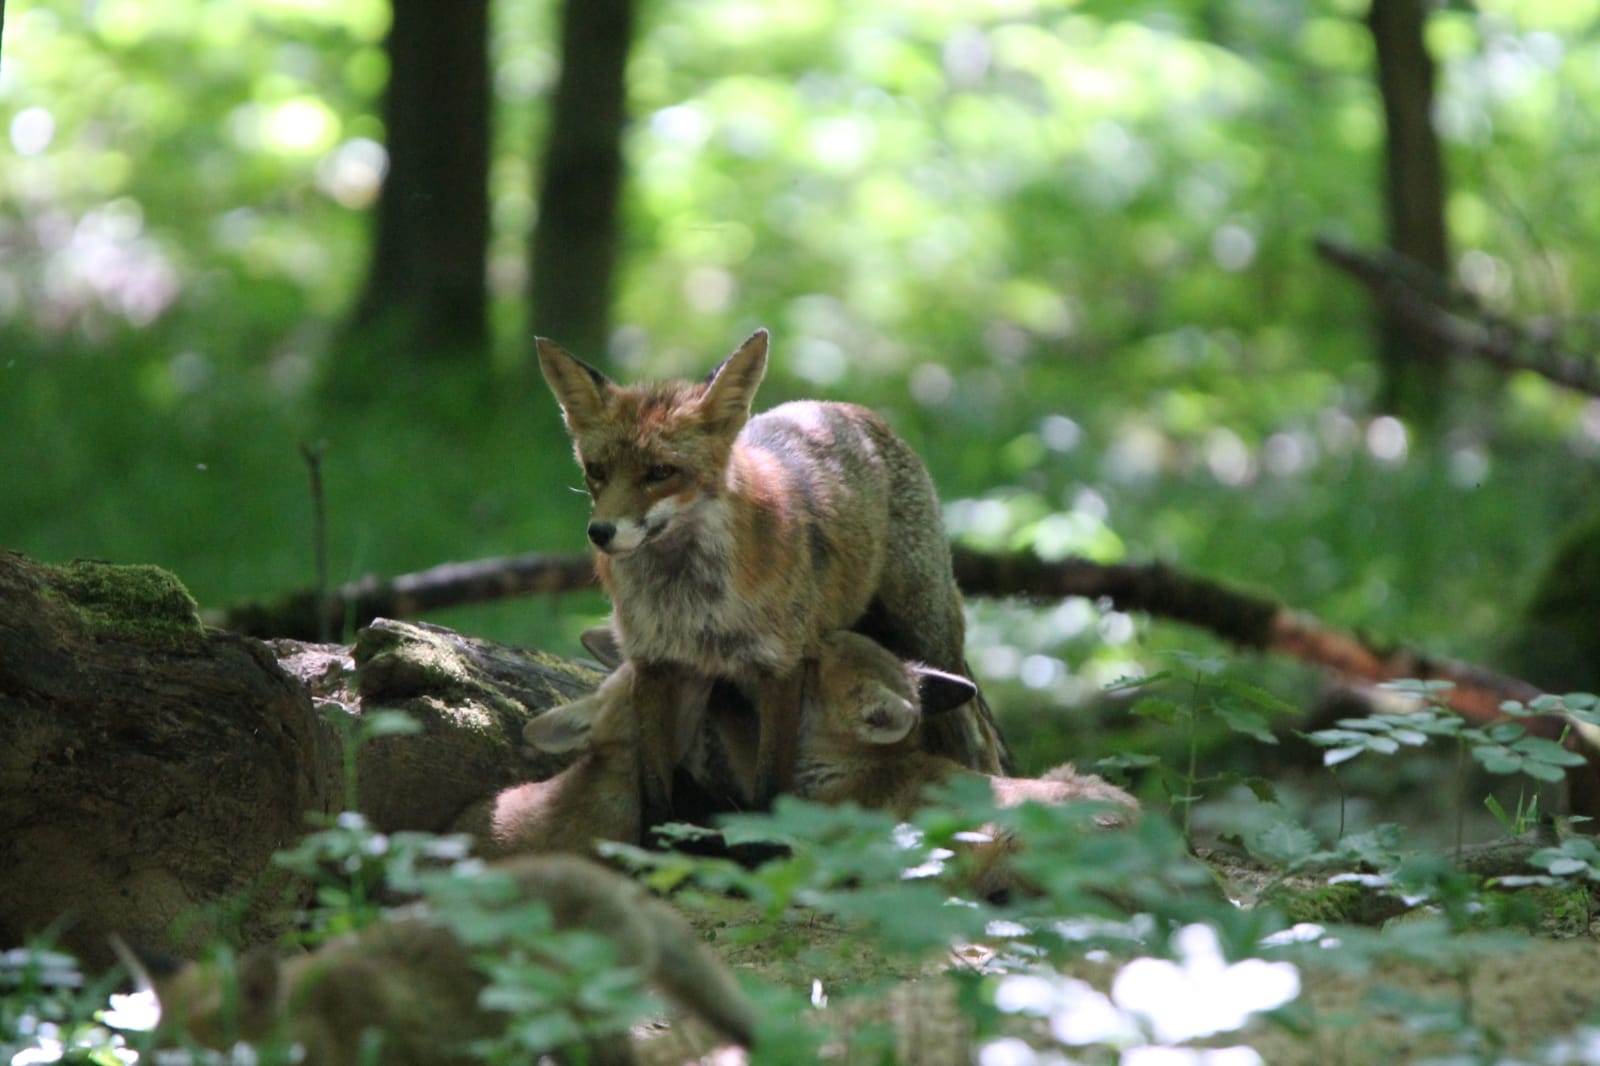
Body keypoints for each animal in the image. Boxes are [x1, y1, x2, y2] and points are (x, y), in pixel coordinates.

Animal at [540, 328, 1011, 800]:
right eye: (596, 471)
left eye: (660, 472)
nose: (600, 533)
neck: (689, 602)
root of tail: (840, 407)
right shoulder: (653, 665)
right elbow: (654, 791)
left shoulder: (781, 668)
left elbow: (769, 789)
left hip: (927, 636)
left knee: (976, 737)